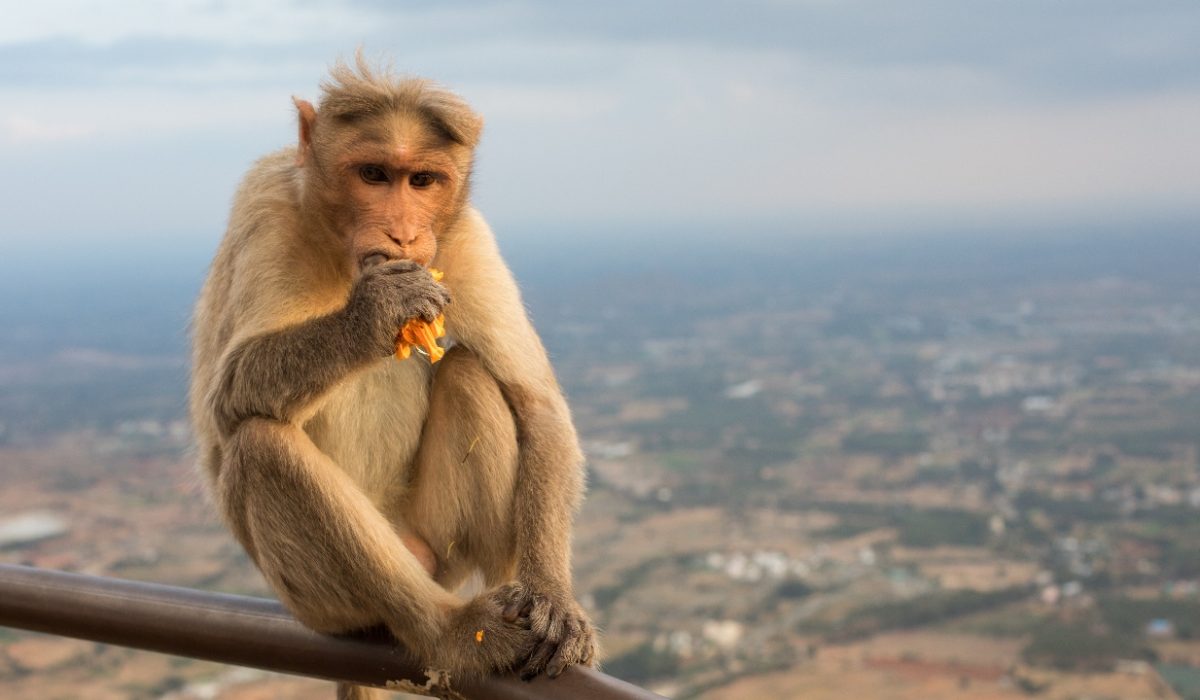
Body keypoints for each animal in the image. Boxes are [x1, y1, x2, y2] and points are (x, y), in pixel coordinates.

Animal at [188, 56, 596, 698]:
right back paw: (451, 633)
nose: (403, 235)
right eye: (374, 174)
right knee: (259, 445)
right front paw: (376, 312)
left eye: (423, 181)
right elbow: (227, 397)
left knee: (470, 374)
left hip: (440, 549)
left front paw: (553, 599)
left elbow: (538, 407)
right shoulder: (266, 209)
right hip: (315, 601)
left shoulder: (463, 235)